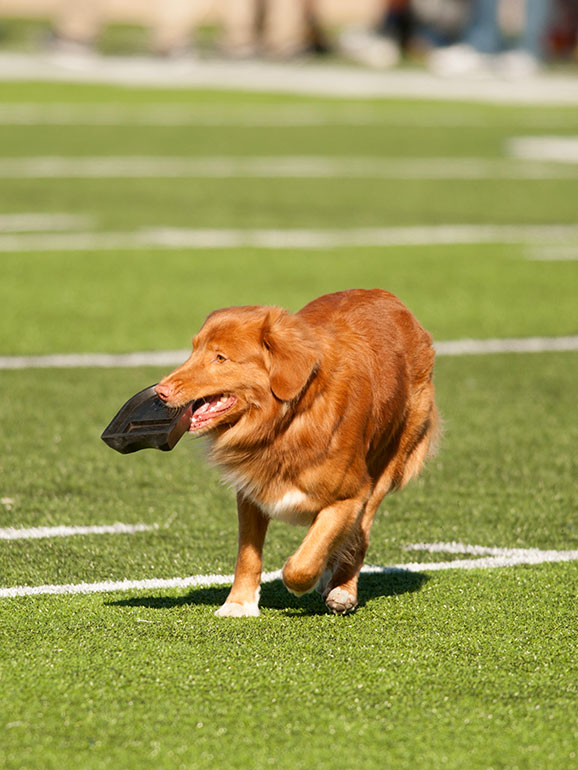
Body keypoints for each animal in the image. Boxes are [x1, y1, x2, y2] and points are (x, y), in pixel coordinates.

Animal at [155, 284, 438, 616]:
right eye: (194, 350)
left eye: (220, 357)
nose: (160, 391)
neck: (284, 423)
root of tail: (389, 297)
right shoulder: (250, 491)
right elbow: (247, 556)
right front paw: (239, 603)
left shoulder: (350, 495)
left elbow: (304, 561)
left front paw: (302, 581)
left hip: (387, 464)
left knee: (360, 535)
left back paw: (342, 588)